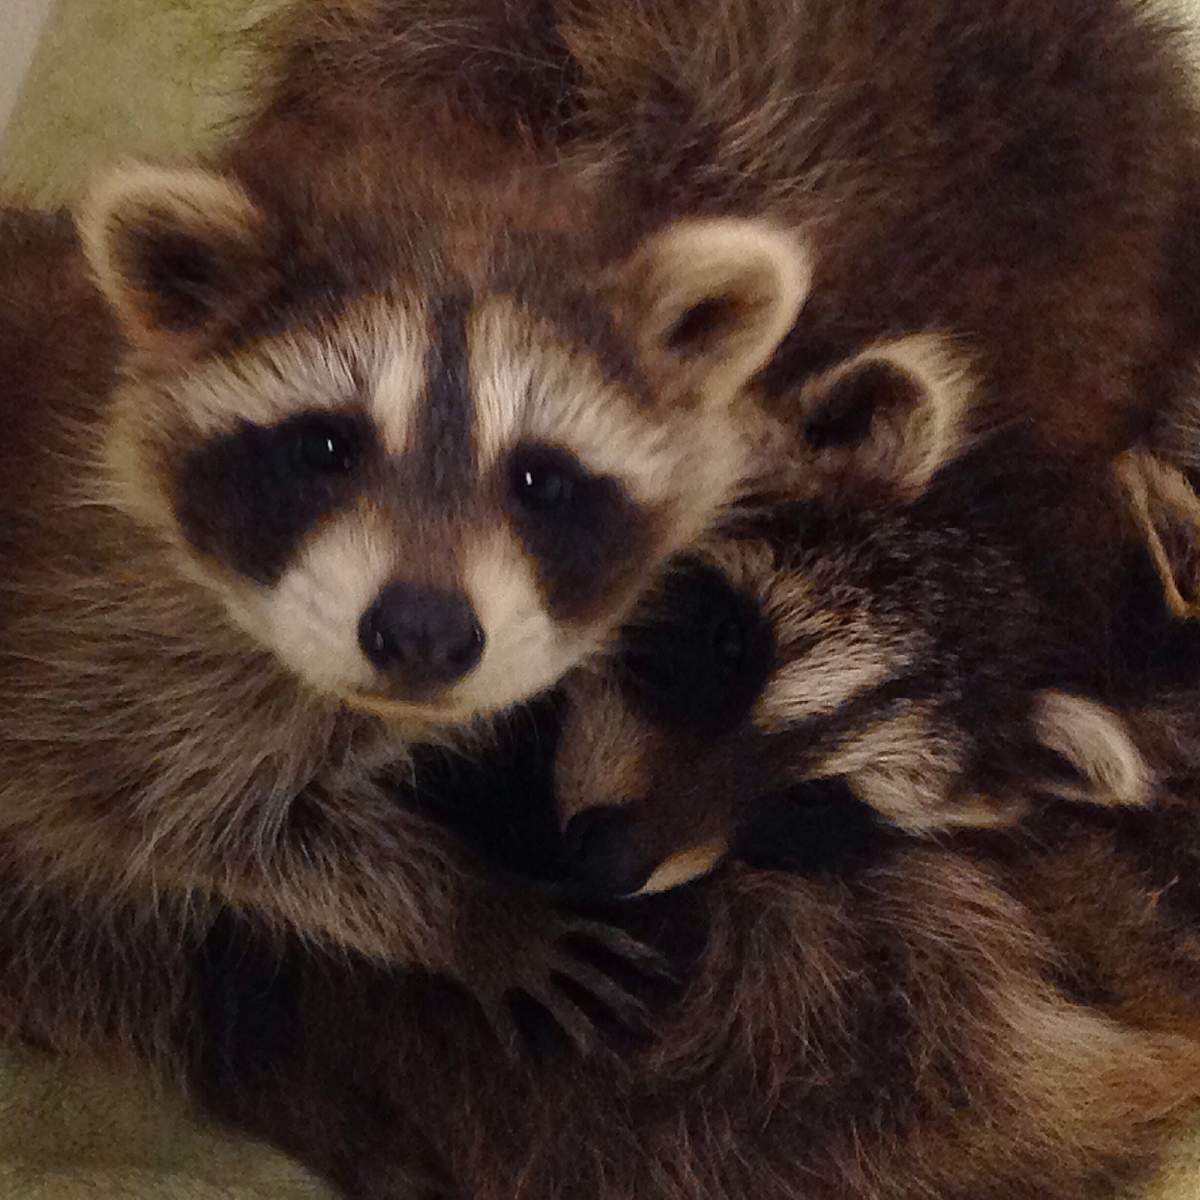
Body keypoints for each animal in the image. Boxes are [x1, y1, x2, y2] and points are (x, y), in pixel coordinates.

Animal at [0, 158, 804, 1061]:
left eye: (541, 480)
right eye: (325, 447)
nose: (424, 633)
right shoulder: (95, 648)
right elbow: (180, 812)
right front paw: (466, 911)